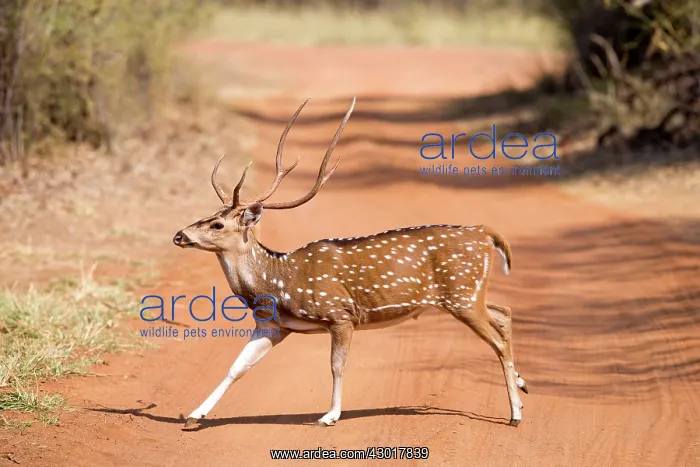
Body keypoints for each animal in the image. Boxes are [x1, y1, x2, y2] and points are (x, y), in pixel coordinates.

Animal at [172, 96, 529, 430]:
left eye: (217, 224)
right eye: (207, 215)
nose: (179, 235)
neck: (278, 285)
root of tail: (484, 233)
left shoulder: (340, 314)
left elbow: (336, 365)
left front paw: (330, 415)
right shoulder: (272, 325)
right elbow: (237, 367)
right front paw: (194, 415)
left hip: (462, 295)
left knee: (498, 339)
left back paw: (515, 414)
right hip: (467, 295)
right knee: (504, 313)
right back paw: (522, 389)